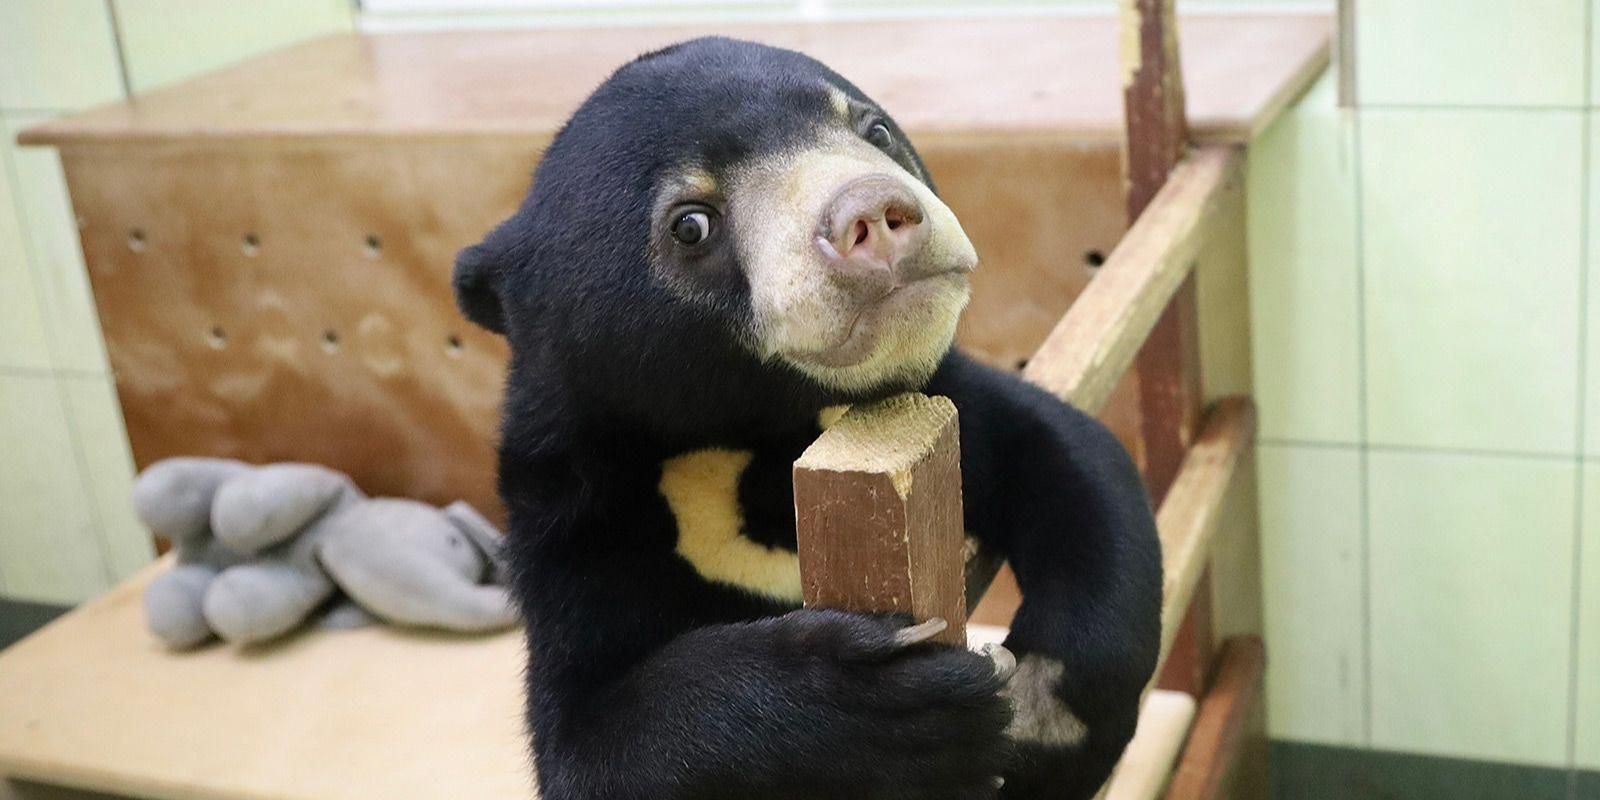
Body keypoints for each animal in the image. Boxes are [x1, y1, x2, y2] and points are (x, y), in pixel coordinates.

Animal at [457, 34, 1158, 796]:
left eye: (874, 129)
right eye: (690, 223)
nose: (874, 214)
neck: (755, 436)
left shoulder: (942, 399)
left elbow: (1068, 457)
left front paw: (1040, 708)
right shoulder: (576, 520)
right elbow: (595, 743)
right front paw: (891, 712)